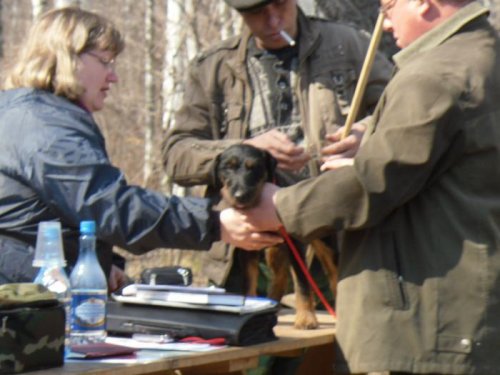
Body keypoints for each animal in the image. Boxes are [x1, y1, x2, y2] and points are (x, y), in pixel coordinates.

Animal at [213, 144, 338, 328]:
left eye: (254, 167)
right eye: (228, 167)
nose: (240, 196)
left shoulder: (295, 247)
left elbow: (302, 282)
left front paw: (306, 318)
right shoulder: (248, 246)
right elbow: (249, 280)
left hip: (325, 244)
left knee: (334, 274)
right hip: (275, 250)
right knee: (281, 277)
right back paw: (271, 304)